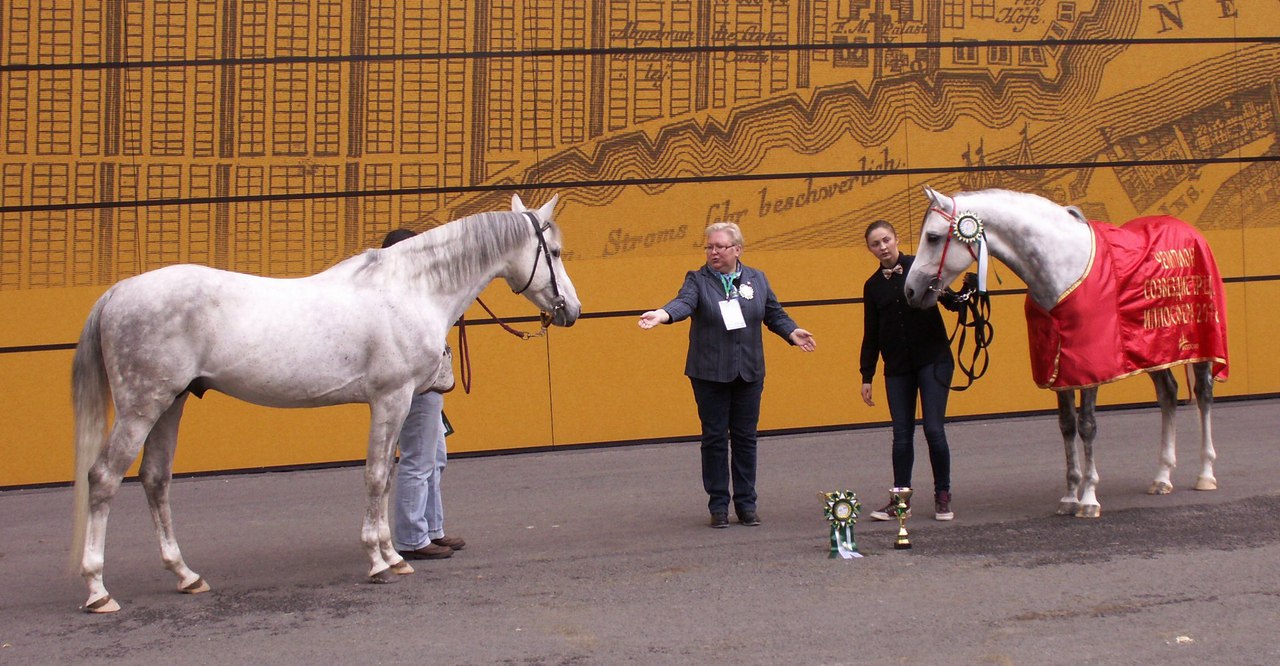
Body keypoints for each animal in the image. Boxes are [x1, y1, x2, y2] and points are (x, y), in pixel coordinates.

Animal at [70, 193, 580, 613]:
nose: (572, 311)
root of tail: (118, 292)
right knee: (104, 479)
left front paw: (393, 555)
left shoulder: (394, 404)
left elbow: (385, 478)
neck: (410, 290)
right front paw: (380, 562)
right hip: (142, 408)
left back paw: (186, 575)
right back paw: (97, 590)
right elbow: (376, 477)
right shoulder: (391, 400)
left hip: (170, 404)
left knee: (156, 480)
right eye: (554, 252)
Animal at [903, 186, 1228, 519]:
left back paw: (1205, 474)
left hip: (1201, 346)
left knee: (1203, 395)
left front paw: (1089, 499)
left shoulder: (1091, 366)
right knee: (1169, 394)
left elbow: (1087, 425)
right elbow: (1067, 426)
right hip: (1155, 349)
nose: (910, 291)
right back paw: (1162, 478)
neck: (1061, 268)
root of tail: (1190, 231)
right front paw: (1070, 496)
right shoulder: (1059, 367)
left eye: (932, 237)